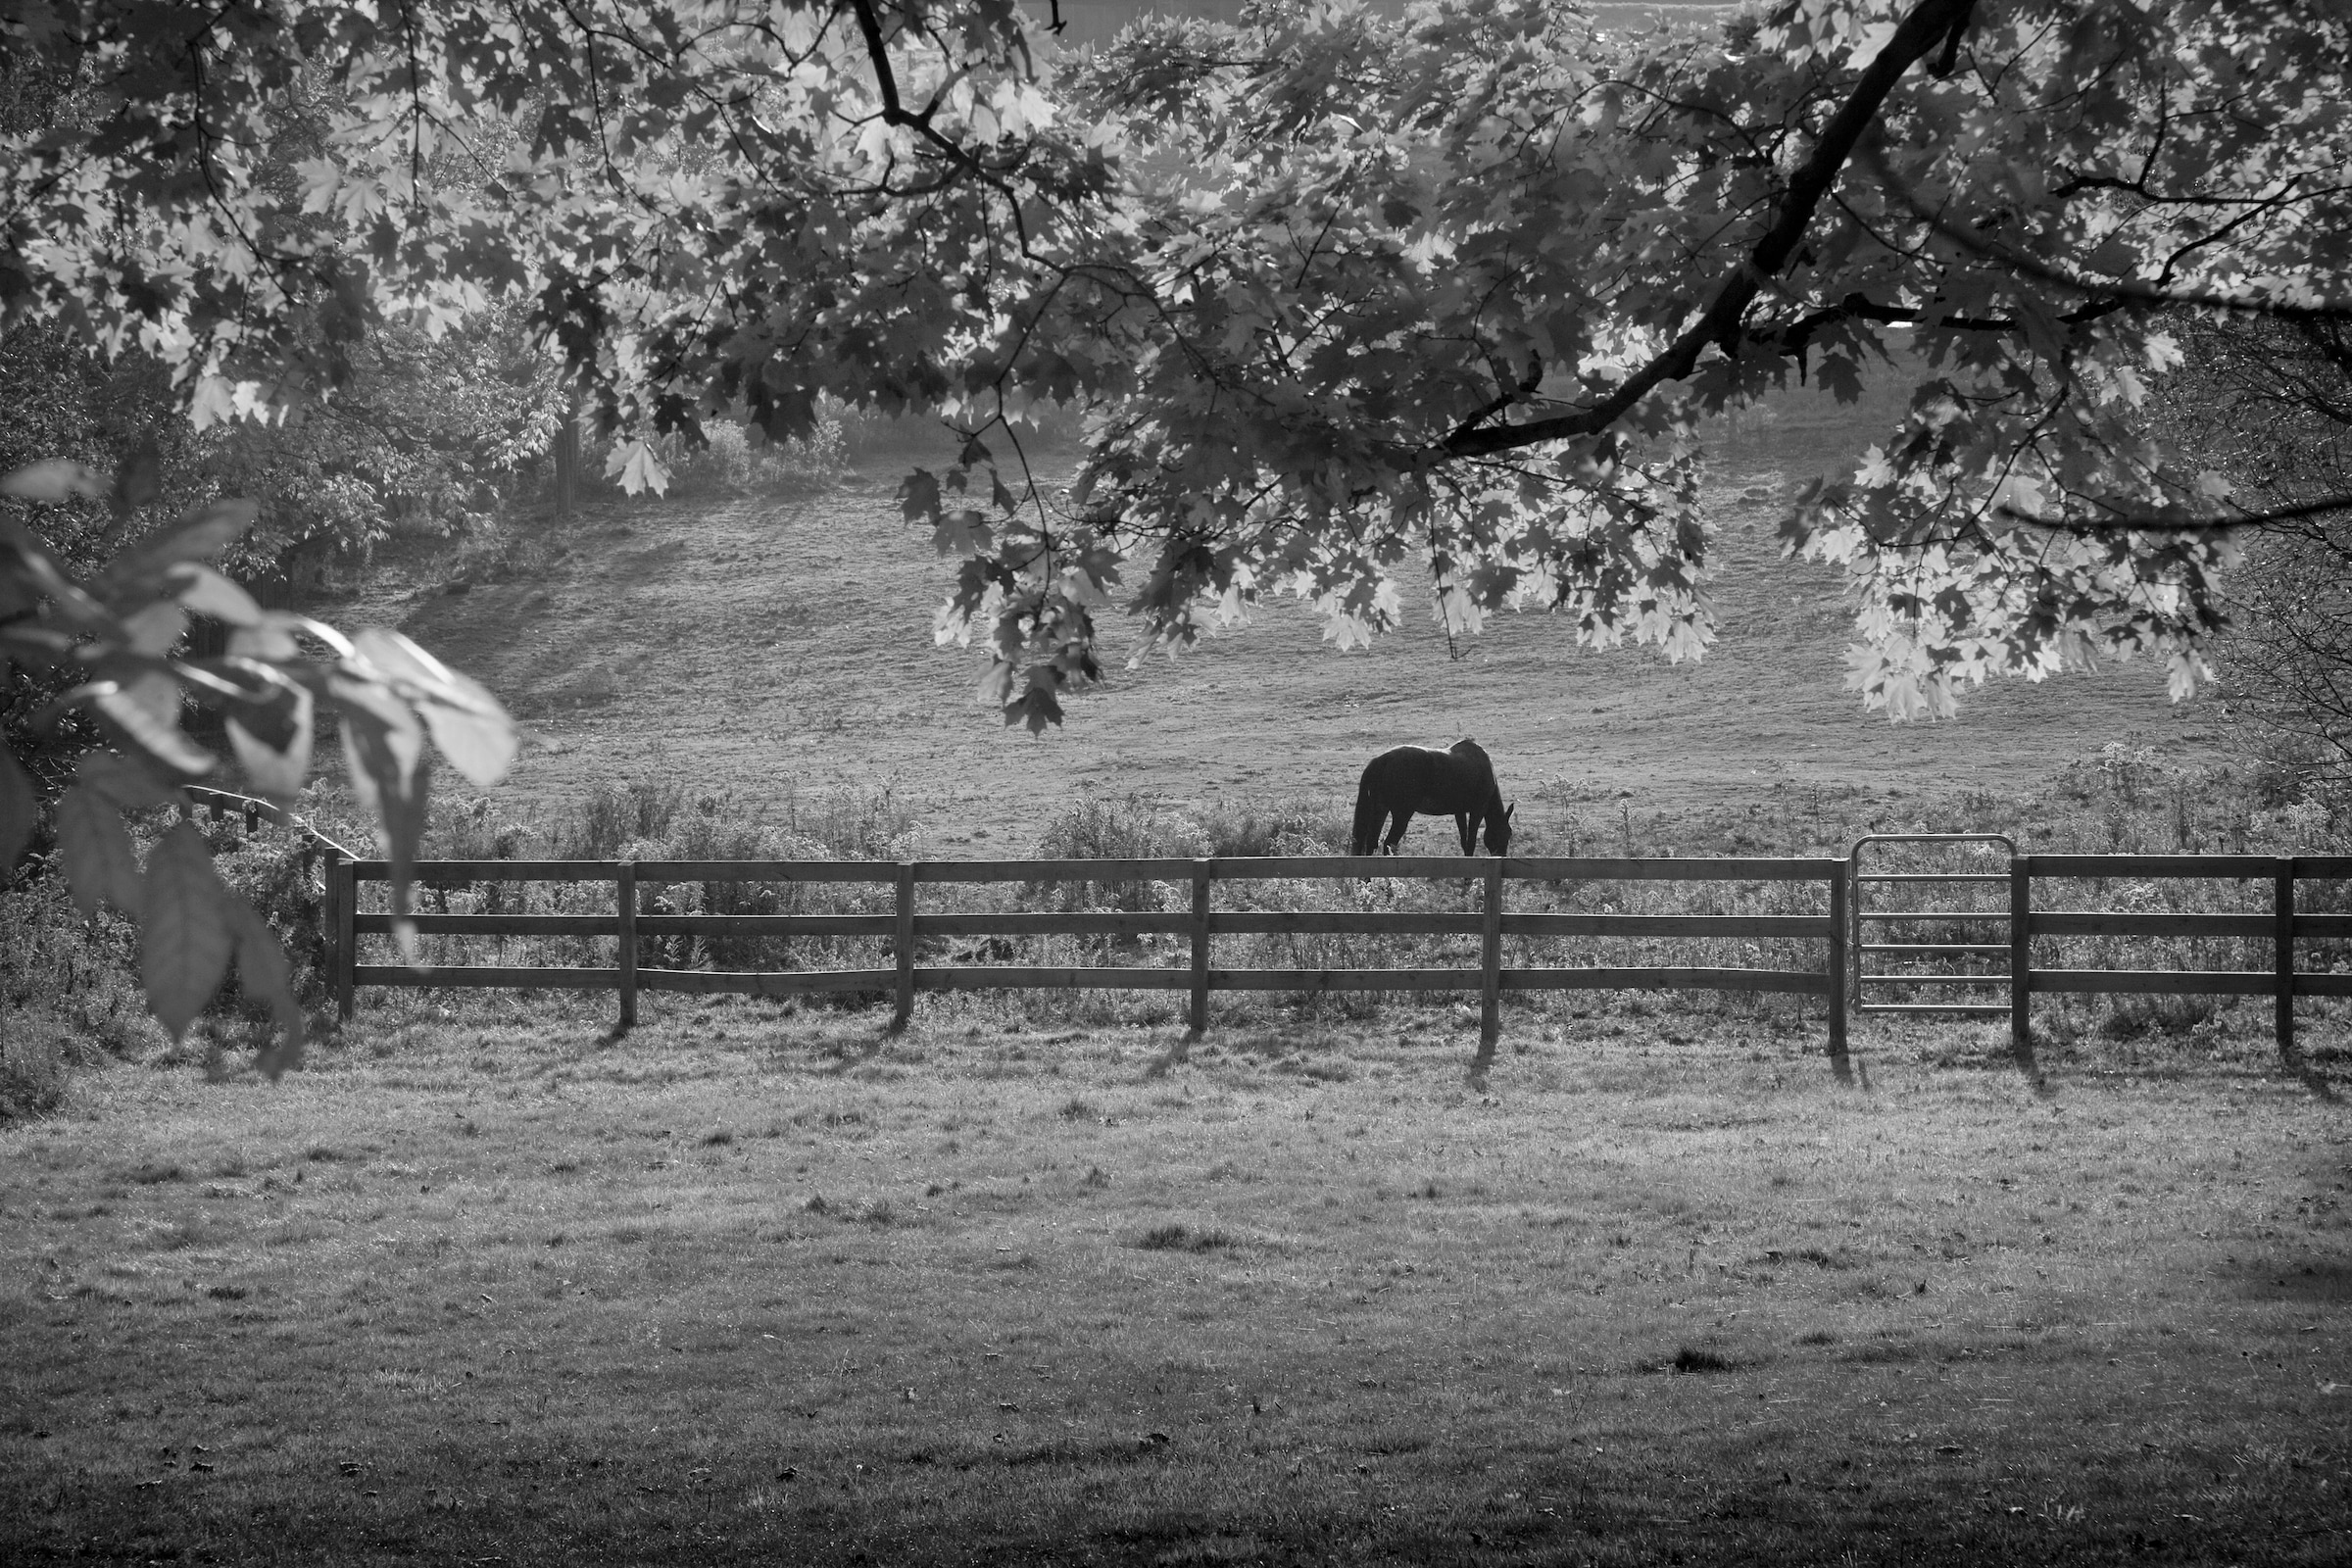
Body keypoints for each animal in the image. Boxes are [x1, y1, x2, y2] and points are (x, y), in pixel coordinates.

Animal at [1354, 738, 1514, 859]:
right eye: (1507, 834)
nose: (1502, 856)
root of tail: (1381, 761)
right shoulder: (1478, 810)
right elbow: (1471, 842)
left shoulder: (1460, 812)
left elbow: (1464, 841)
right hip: (1401, 815)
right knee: (1388, 844)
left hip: (1380, 809)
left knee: (1371, 842)